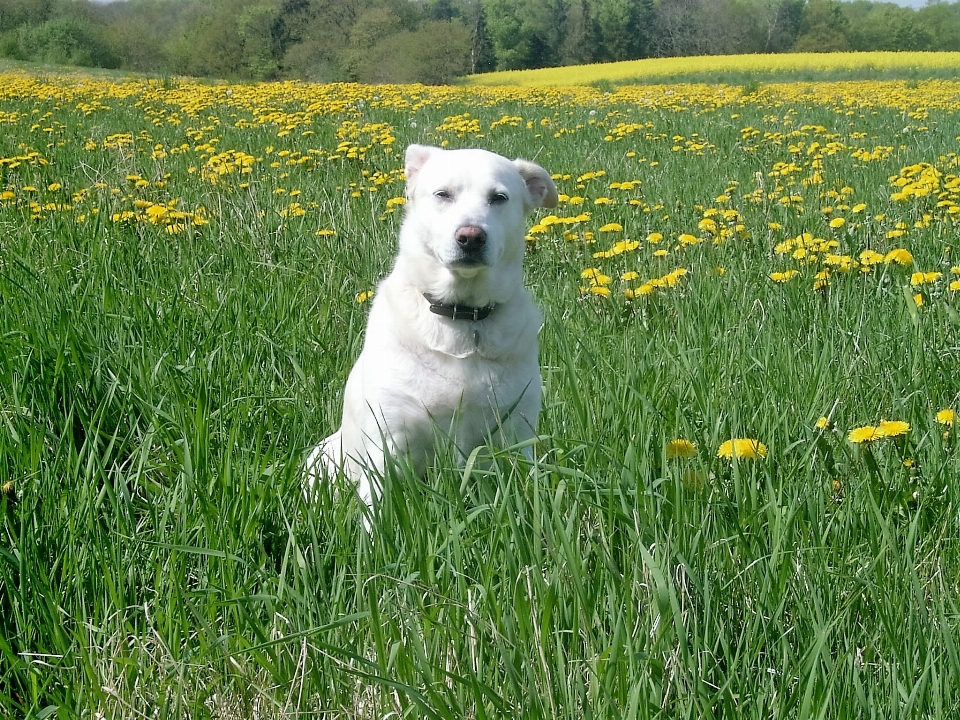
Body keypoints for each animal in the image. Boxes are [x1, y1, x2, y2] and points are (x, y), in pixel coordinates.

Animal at [308, 143, 560, 510]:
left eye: (499, 198)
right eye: (443, 194)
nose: (471, 237)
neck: (462, 316)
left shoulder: (515, 432)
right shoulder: (390, 437)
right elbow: (379, 508)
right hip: (321, 459)